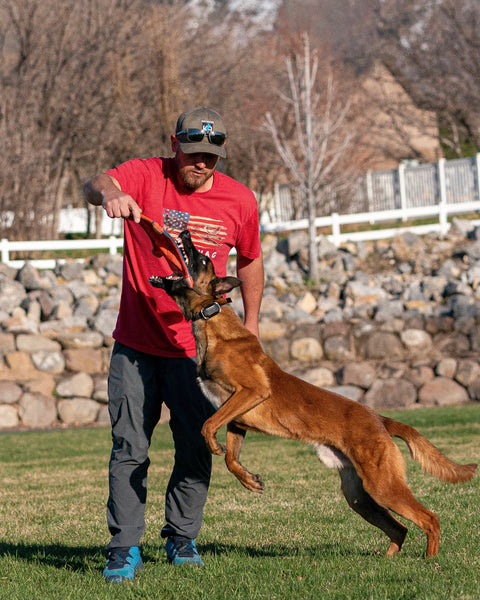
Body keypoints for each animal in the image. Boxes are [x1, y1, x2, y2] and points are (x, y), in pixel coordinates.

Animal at [150, 229, 476, 556]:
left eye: (202, 259)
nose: (184, 232)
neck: (212, 319)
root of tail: (380, 419)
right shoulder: (238, 420)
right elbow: (232, 458)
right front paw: (249, 480)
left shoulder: (252, 392)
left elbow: (208, 425)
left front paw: (215, 446)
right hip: (359, 496)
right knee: (400, 527)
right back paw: (391, 559)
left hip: (382, 486)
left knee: (429, 518)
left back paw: (429, 561)